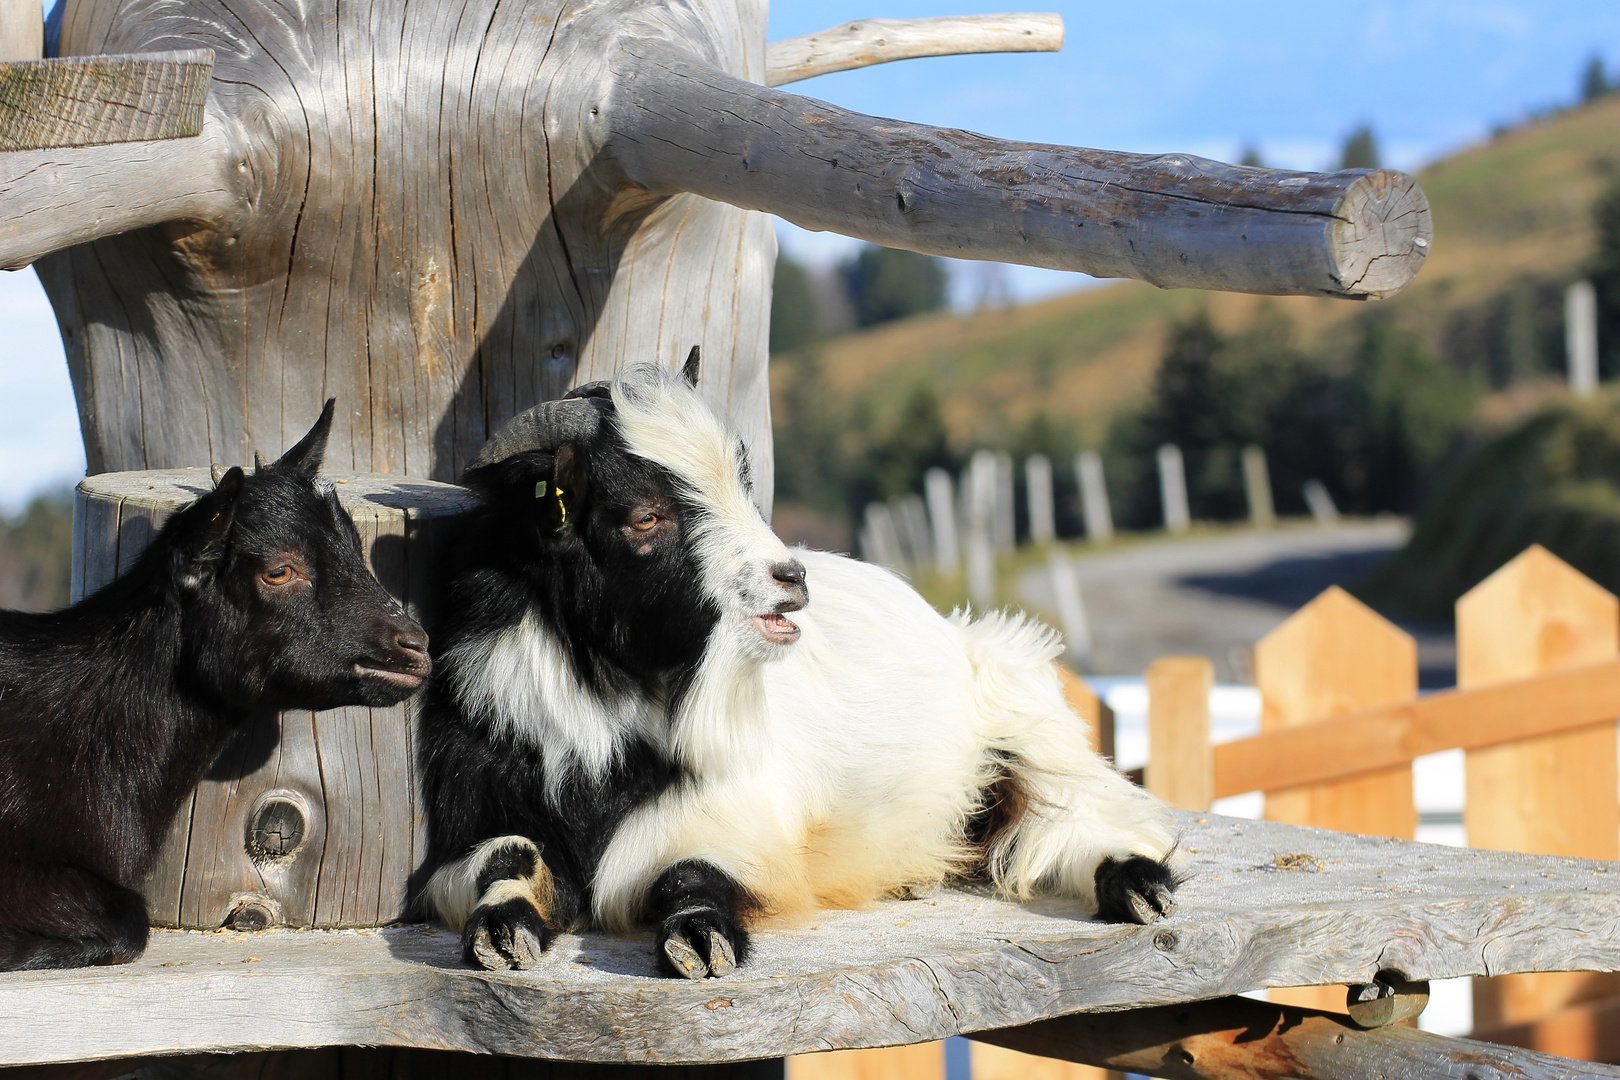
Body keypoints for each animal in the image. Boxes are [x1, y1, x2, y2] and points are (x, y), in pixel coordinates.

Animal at [417, 365, 1179, 977]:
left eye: (744, 487)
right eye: (645, 516)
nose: (791, 577)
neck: (609, 704)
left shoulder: (741, 819)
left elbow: (692, 873)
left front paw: (701, 939)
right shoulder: (476, 810)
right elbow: (506, 856)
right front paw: (500, 930)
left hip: (1020, 702)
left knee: (1082, 813)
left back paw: (1139, 884)